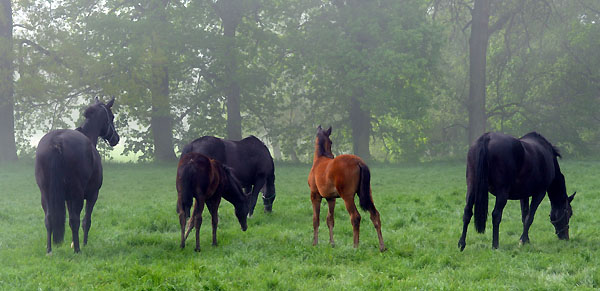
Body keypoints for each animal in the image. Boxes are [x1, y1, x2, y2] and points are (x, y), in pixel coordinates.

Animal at [35, 97, 120, 254]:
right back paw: (78, 249)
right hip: (77, 194)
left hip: (45, 193)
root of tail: (57, 141)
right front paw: (83, 243)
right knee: (75, 220)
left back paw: (49, 250)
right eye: (112, 117)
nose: (116, 138)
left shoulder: (67, 198)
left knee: (49, 219)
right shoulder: (92, 195)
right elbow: (86, 221)